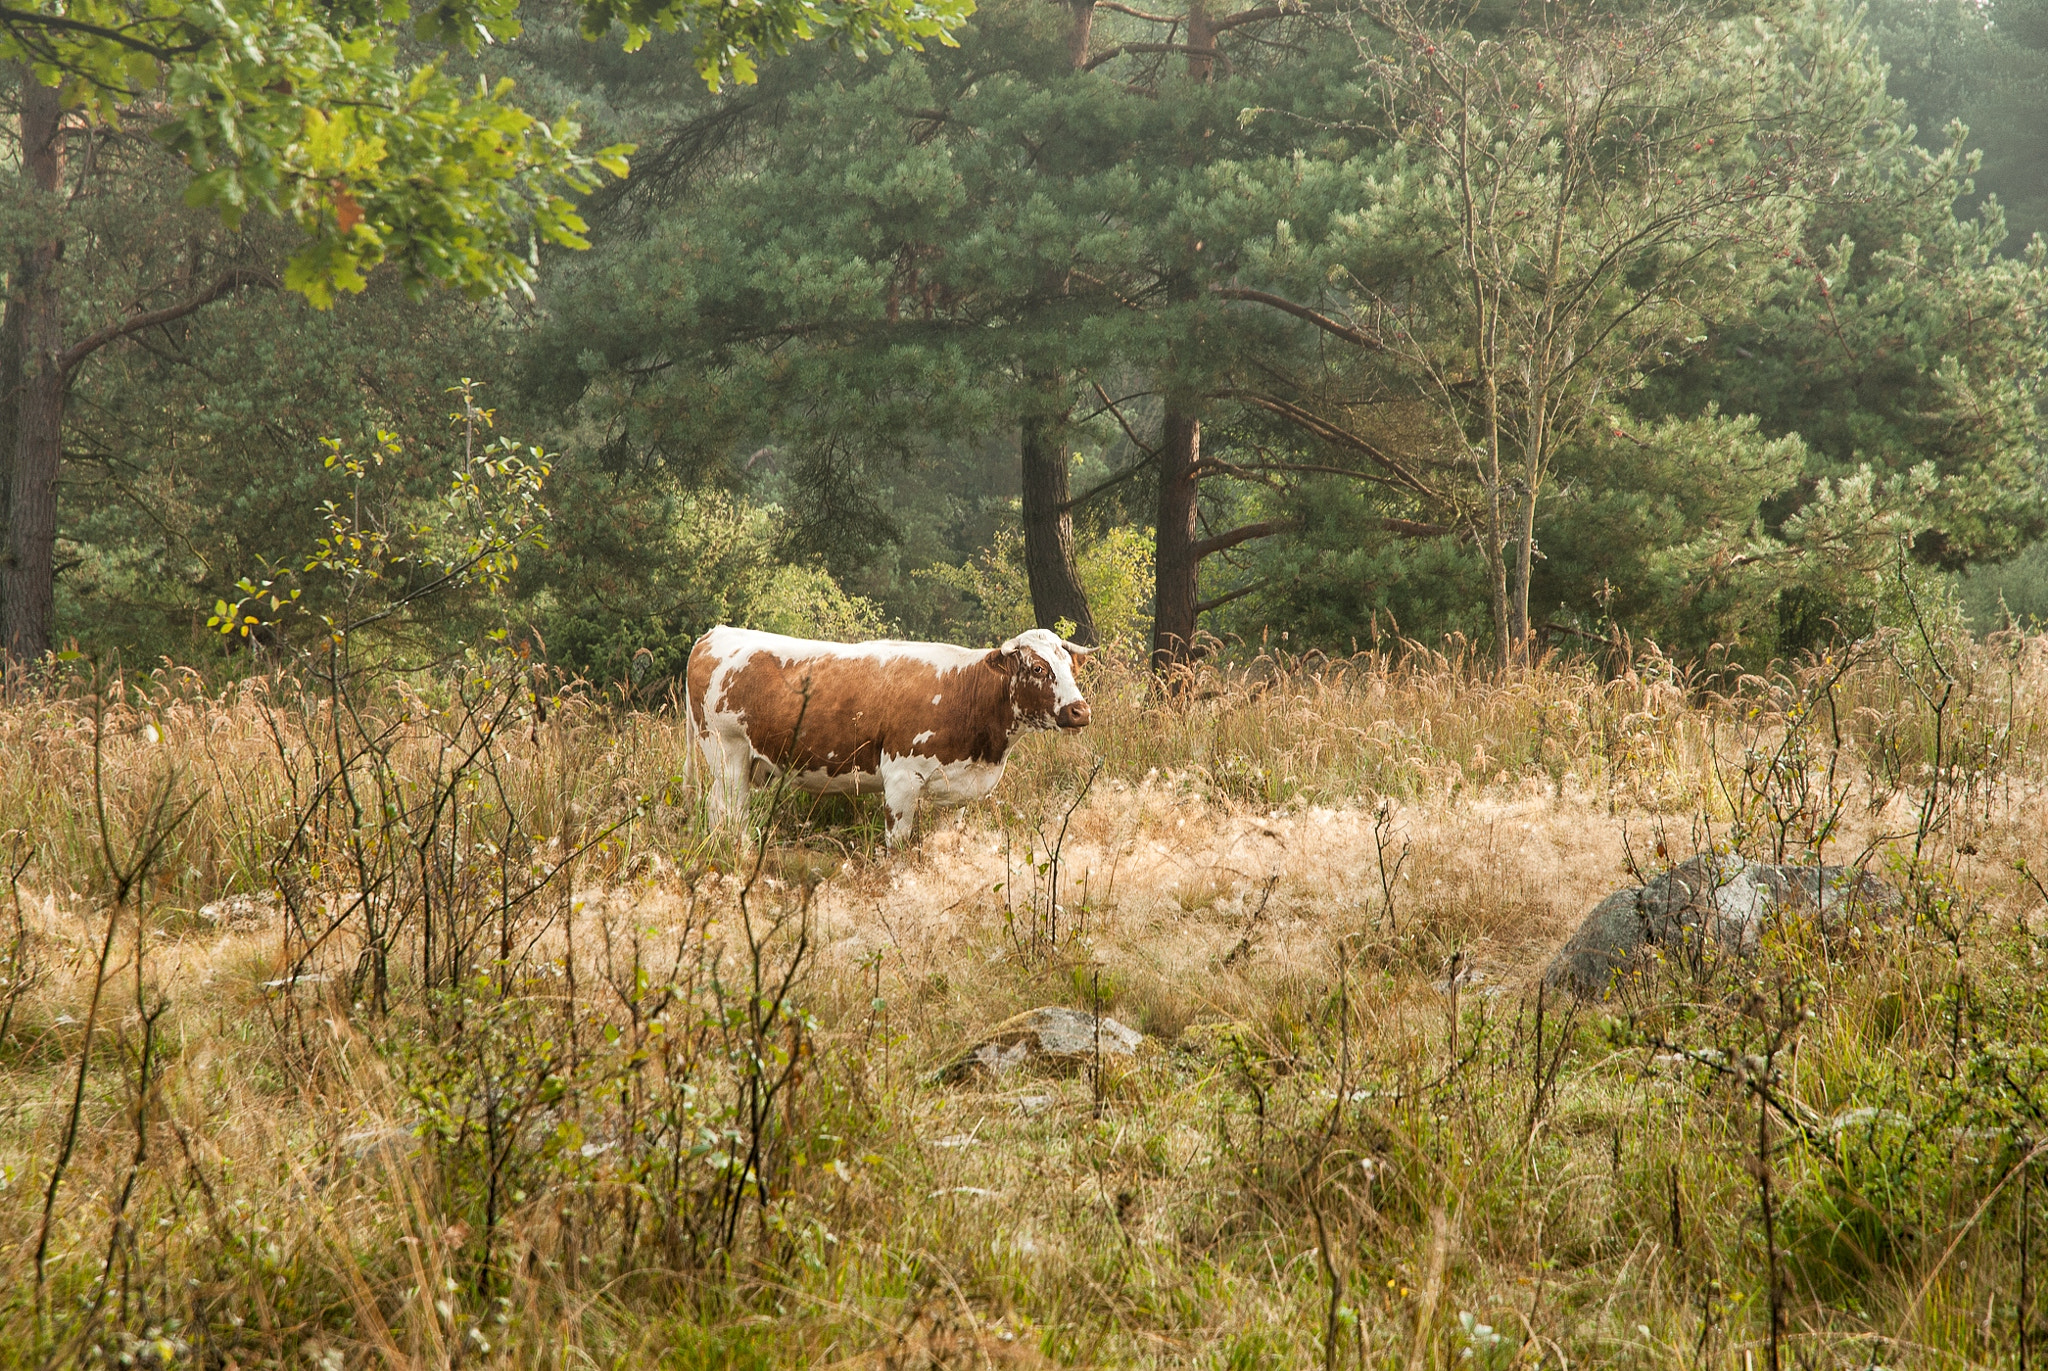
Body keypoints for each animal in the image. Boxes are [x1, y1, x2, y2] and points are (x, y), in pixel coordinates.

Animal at [686, 625, 1093, 846]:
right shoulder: (901, 779)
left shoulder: (958, 791)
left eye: (1071, 666)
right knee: (727, 810)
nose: (1080, 710)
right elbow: (898, 847)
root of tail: (718, 632)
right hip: (727, 753)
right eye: (1038, 668)